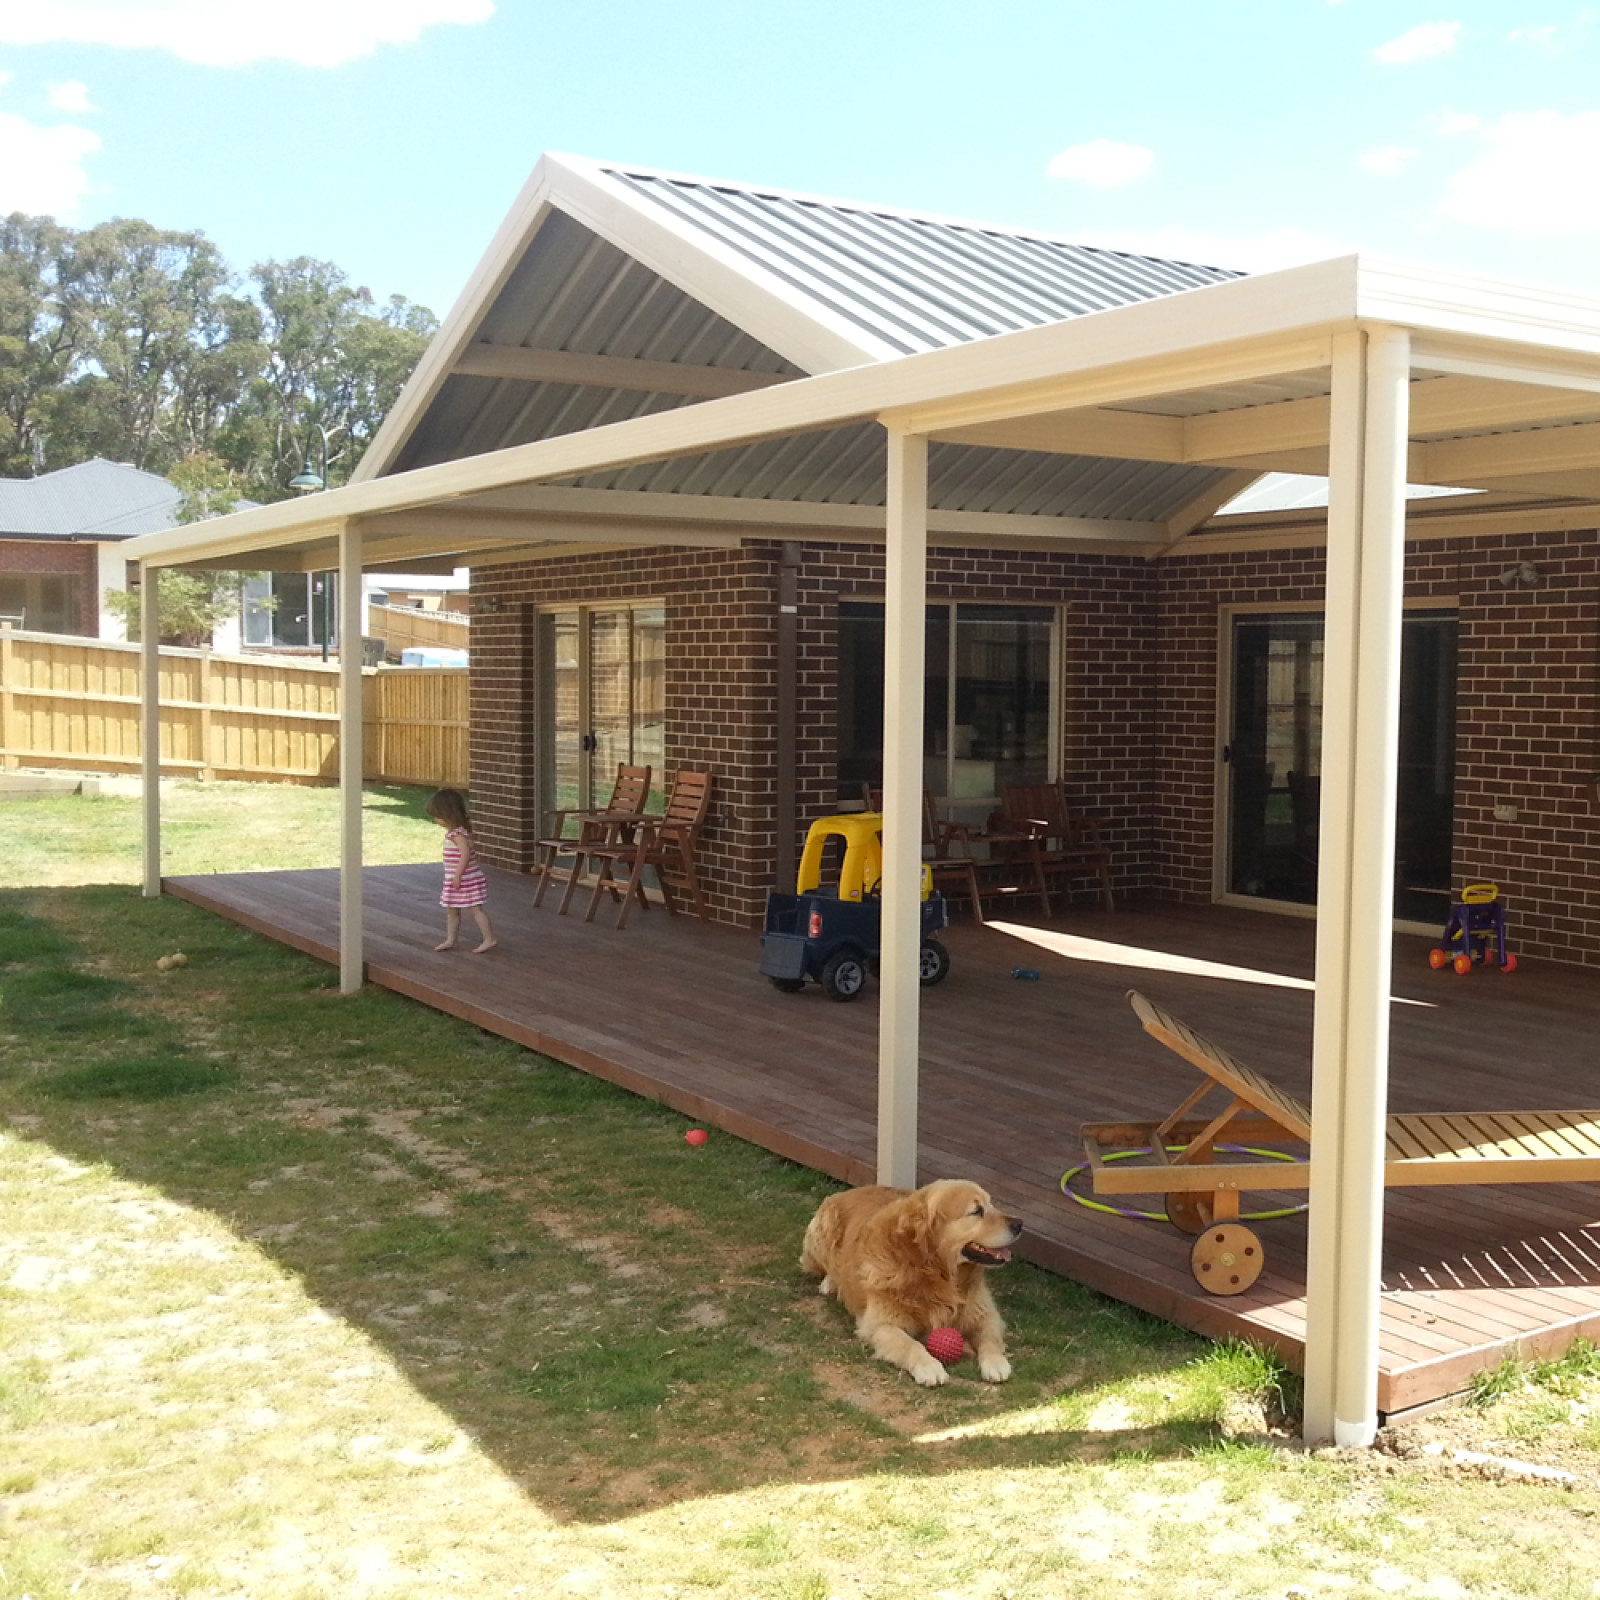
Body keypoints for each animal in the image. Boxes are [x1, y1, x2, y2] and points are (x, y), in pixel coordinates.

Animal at [800, 1177, 1024, 1388]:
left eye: (991, 1204)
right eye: (976, 1211)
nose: (1019, 1224)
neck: (938, 1273)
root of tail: (848, 1191)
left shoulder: (984, 1313)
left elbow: (990, 1338)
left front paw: (996, 1363)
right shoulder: (880, 1324)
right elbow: (910, 1345)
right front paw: (930, 1367)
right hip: (821, 1232)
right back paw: (830, 1283)